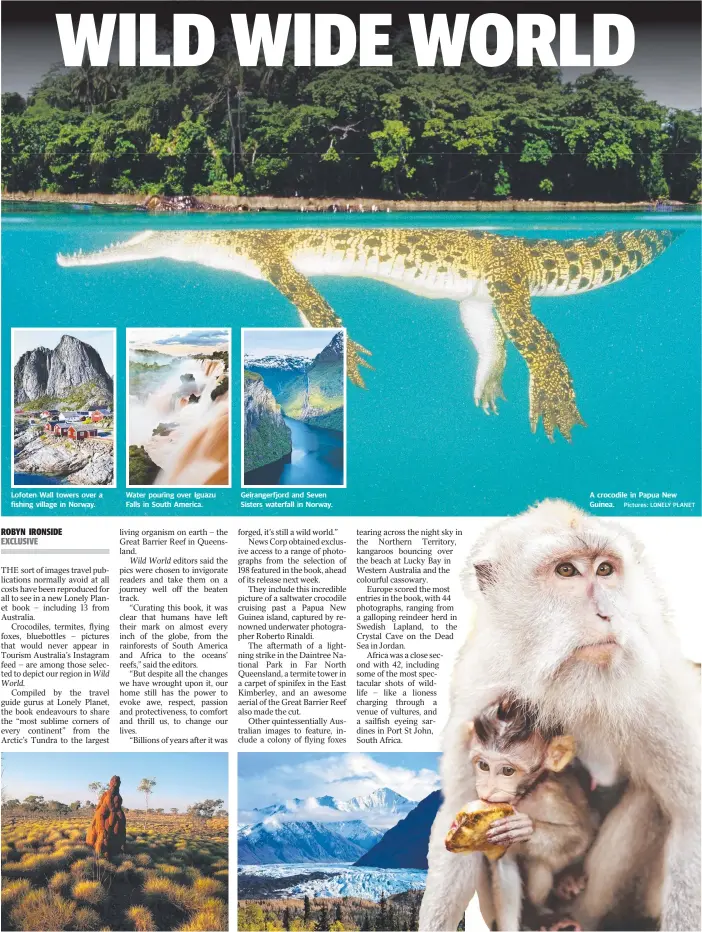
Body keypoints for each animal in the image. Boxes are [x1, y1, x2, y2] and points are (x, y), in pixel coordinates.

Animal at [468, 696, 600, 928]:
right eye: (483, 766)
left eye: (507, 771)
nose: (487, 790)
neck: (526, 794)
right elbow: (505, 868)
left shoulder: (550, 797)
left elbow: (582, 834)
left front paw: (524, 828)